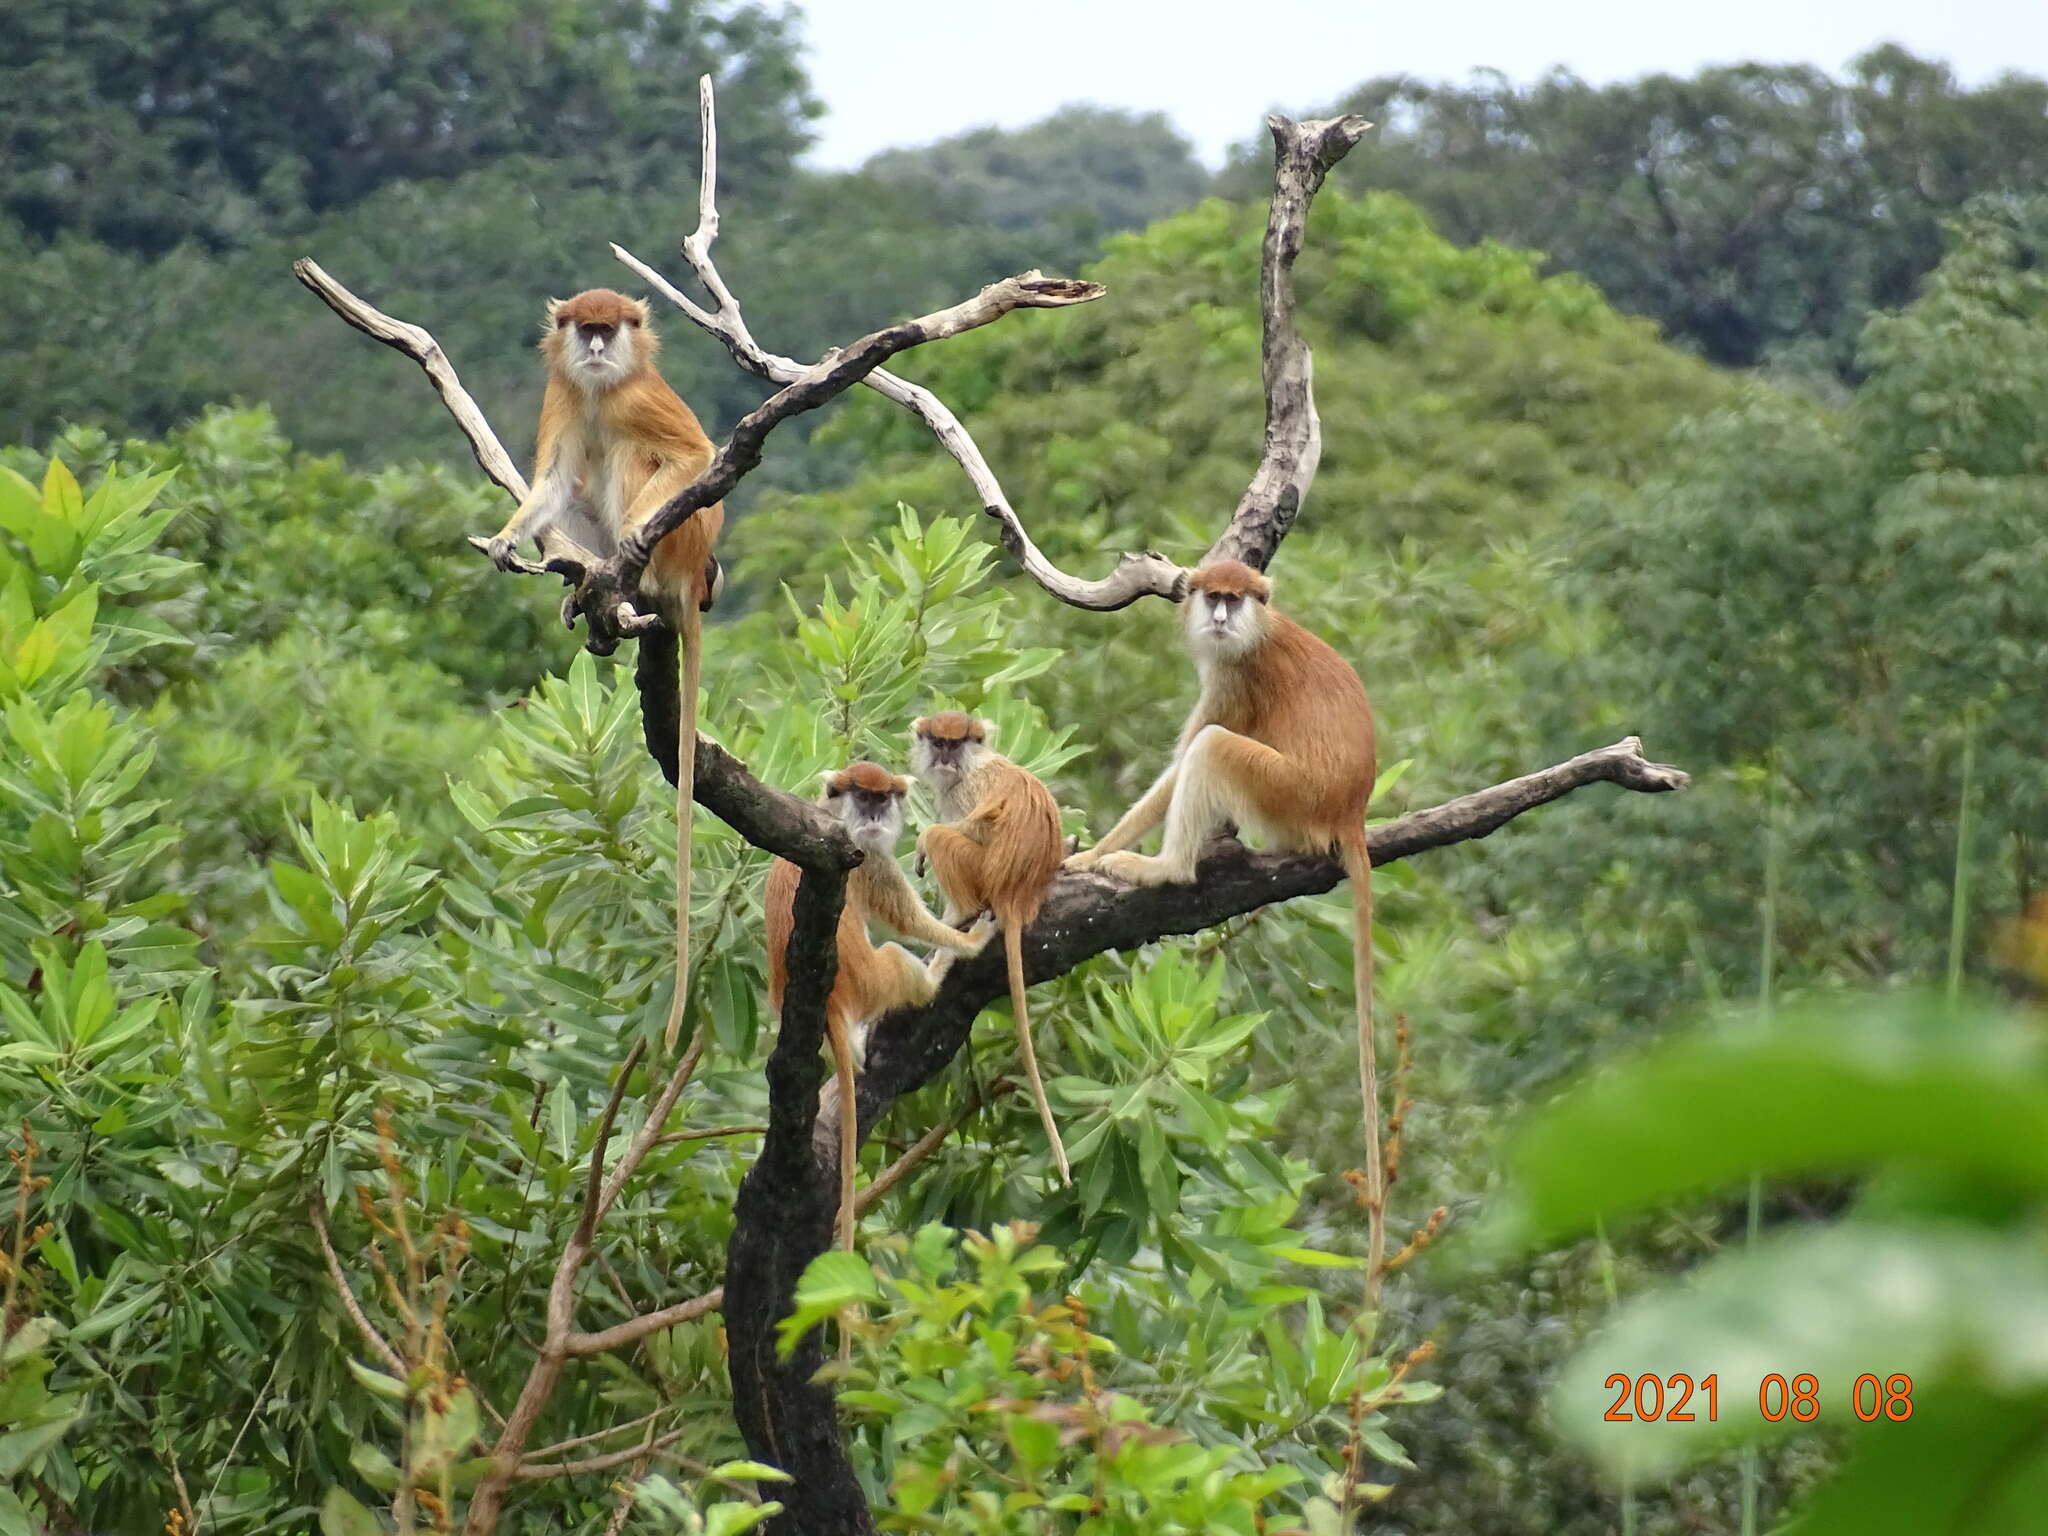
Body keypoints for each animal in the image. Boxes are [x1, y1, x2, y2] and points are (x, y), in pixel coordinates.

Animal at [483, 290, 724, 1056]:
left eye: (608, 330)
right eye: (583, 328)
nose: (592, 349)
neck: (597, 388)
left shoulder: (635, 398)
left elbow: (694, 455)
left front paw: (633, 535)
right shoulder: (564, 395)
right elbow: (557, 480)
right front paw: (507, 537)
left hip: (682, 545)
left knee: (623, 455)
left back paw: (631, 575)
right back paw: (591, 588)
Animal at [765, 761, 995, 1253]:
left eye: (882, 798)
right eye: (863, 797)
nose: (873, 817)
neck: (830, 814)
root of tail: (831, 1005)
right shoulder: (865, 859)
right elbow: (906, 919)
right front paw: (967, 939)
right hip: (873, 980)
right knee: (896, 958)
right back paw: (935, 974)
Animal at [909, 720, 1073, 1187]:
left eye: (956, 743)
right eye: (938, 742)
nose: (945, 758)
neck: (973, 763)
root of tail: (1017, 893)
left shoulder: (968, 790)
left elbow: (980, 821)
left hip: (981, 871)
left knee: (944, 837)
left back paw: (959, 913)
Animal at [1064, 561, 1384, 1277]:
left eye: (1234, 602)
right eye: (1214, 595)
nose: (1216, 616)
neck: (1257, 632)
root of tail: (1348, 809)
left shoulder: (1237, 679)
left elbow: (1189, 755)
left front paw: (1094, 855)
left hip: (1286, 795)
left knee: (1213, 748)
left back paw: (1166, 869)